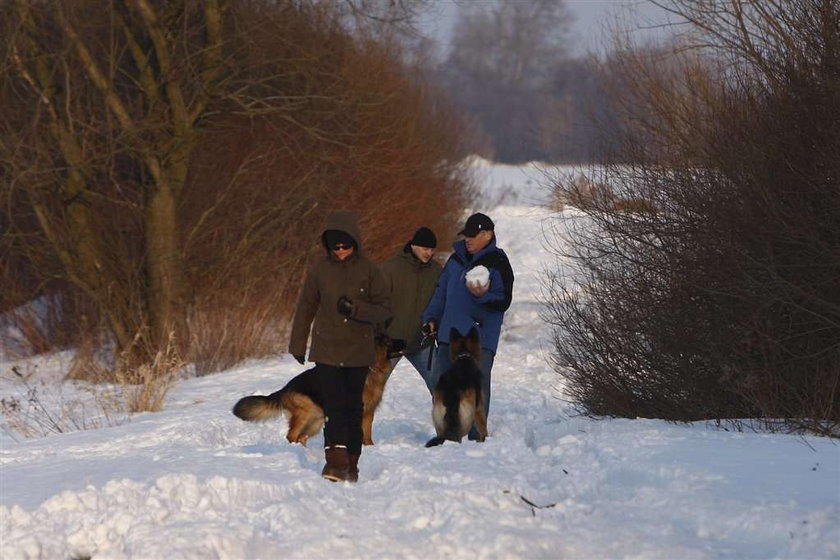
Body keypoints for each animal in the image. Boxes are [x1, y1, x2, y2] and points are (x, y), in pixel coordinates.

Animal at [233, 332, 404, 446]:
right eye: (388, 342)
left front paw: (369, 448)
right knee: (291, 435)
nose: (405, 340)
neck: (371, 369)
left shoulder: (368, 413)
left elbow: (367, 436)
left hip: (316, 420)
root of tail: (284, 389)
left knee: (300, 437)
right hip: (306, 412)